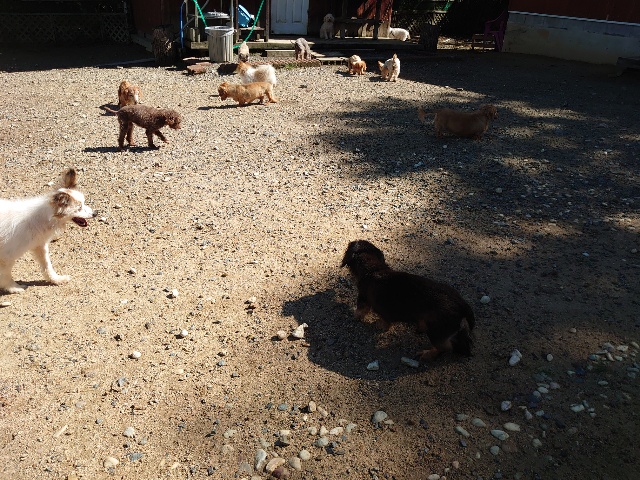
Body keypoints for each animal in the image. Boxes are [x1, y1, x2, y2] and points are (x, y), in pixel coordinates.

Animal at [341, 240, 475, 361]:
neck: (374, 269)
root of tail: (462, 305)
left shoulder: (363, 297)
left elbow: (362, 311)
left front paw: (359, 317)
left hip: (436, 331)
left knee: (445, 348)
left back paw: (427, 354)